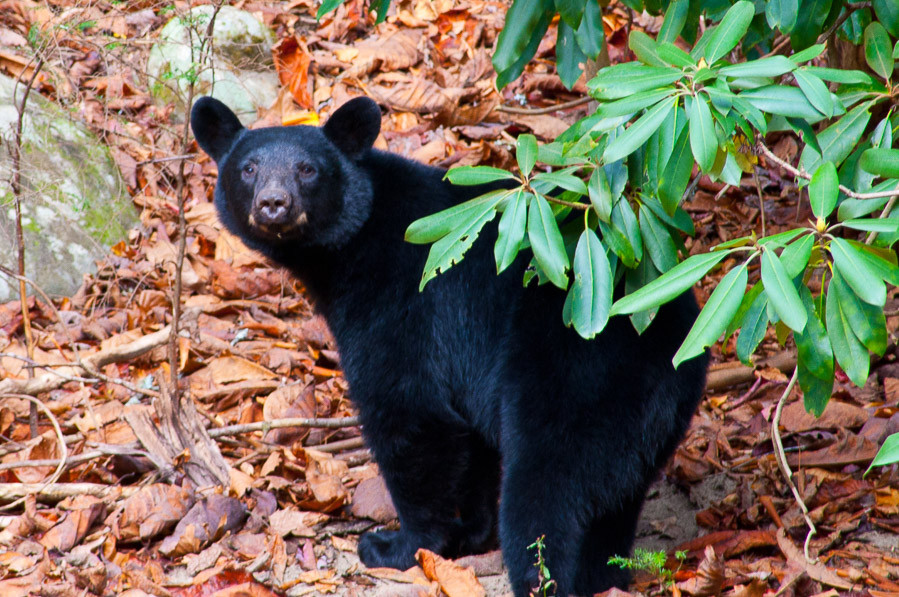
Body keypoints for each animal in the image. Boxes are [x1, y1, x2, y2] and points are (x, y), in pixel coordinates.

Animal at [192, 95, 712, 592]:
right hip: (645, 423)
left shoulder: (404, 307)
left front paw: (398, 546)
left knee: (545, 494)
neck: (351, 249)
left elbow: (411, 417)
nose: (273, 204)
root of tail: (667, 333)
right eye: (248, 168)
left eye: (308, 169)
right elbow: (471, 443)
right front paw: (471, 533)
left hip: (575, 381)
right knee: (612, 504)